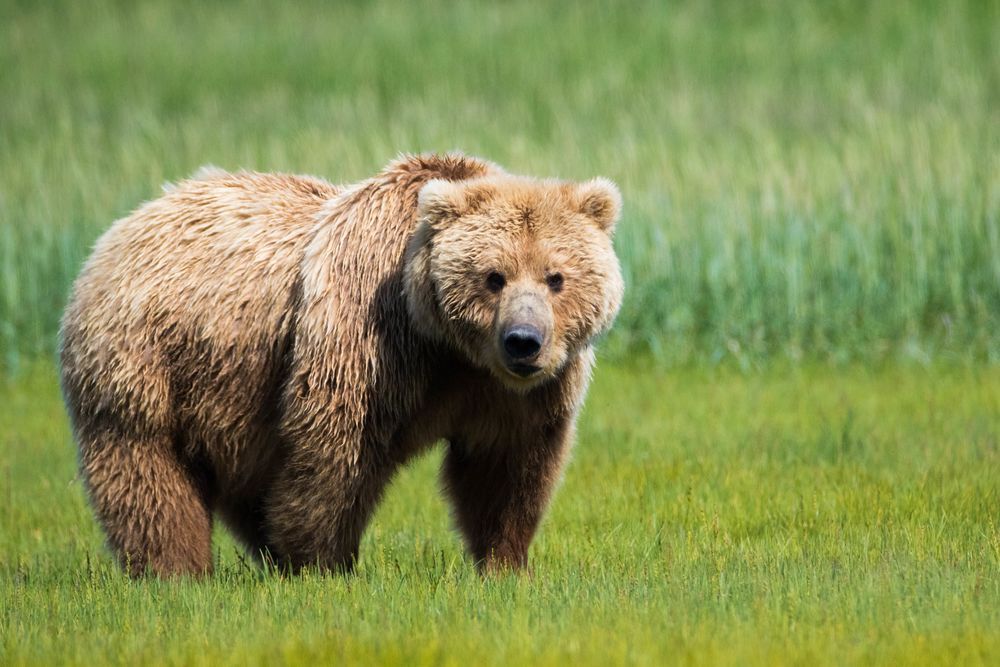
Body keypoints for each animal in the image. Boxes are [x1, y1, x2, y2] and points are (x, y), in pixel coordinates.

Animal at [58, 154, 620, 576]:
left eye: (556, 277)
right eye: (493, 276)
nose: (523, 342)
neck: (449, 347)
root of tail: (119, 229)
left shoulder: (512, 394)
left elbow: (505, 467)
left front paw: (504, 562)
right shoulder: (369, 336)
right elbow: (337, 448)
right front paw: (323, 562)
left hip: (231, 398)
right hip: (145, 360)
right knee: (147, 475)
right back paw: (177, 571)